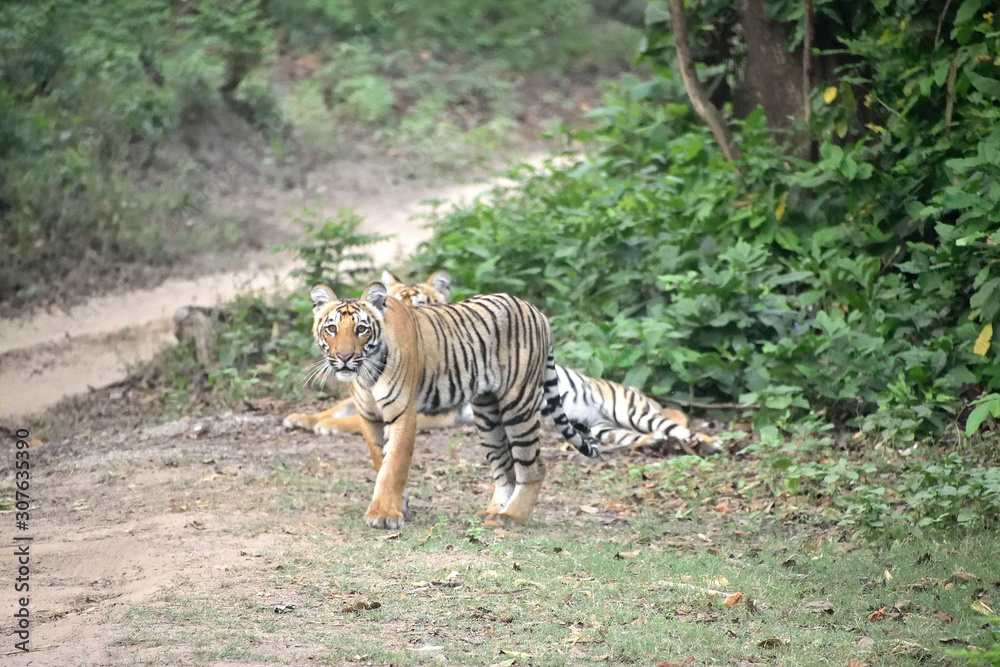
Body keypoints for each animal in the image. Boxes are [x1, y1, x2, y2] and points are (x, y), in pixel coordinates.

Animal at [305, 280, 600, 529]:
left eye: (361, 329)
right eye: (332, 328)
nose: (344, 357)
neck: (366, 374)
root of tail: (536, 312)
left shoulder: (403, 414)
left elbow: (394, 466)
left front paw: (386, 515)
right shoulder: (369, 417)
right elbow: (381, 462)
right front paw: (397, 505)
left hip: (519, 404)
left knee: (533, 466)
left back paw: (512, 516)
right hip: (487, 415)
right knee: (506, 469)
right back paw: (493, 512)